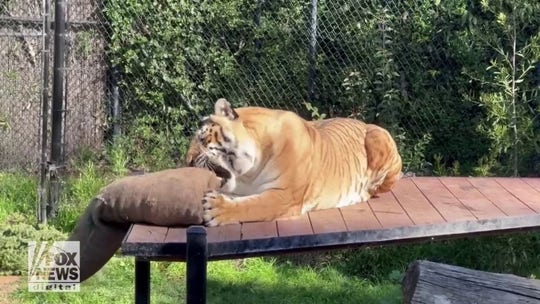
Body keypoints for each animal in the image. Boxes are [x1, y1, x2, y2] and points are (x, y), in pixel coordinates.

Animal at [186, 97, 400, 226]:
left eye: (203, 139)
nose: (187, 161)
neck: (248, 174)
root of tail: (362, 122)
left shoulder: (284, 196)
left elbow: (251, 206)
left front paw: (215, 208)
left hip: (378, 136)